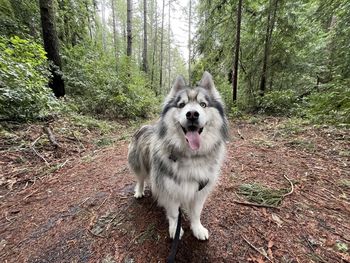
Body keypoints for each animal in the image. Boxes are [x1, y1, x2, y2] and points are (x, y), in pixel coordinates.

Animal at [127, 72, 228, 241]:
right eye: (181, 105)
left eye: (203, 104)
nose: (192, 114)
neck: (191, 156)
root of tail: (145, 127)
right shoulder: (169, 189)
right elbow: (174, 214)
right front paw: (175, 229)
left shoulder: (200, 190)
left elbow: (196, 212)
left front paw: (197, 228)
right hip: (139, 165)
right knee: (140, 179)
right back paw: (139, 192)